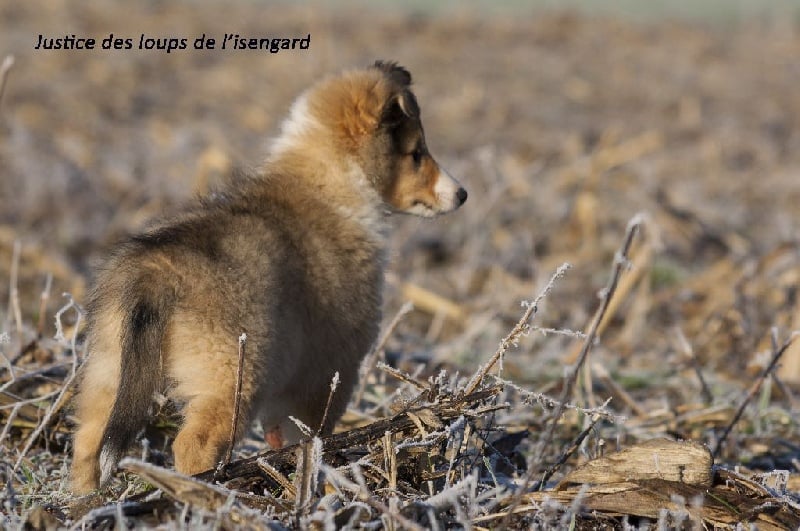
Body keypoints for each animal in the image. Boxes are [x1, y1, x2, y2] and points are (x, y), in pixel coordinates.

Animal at [71, 59, 466, 494]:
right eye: (416, 153)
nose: (462, 194)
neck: (331, 182)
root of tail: (155, 273)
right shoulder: (330, 366)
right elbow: (312, 435)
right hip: (231, 377)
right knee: (193, 445)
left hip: (109, 370)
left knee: (88, 442)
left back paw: (84, 501)